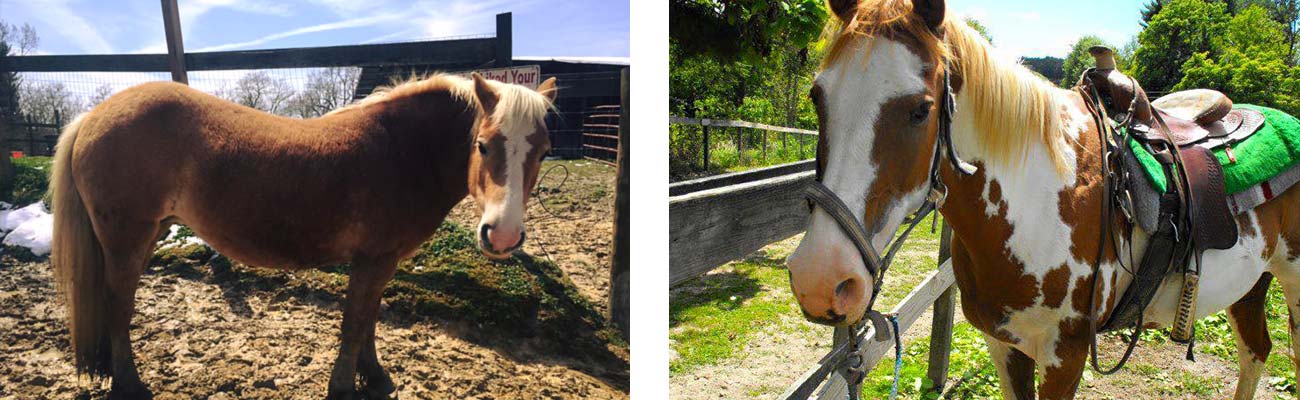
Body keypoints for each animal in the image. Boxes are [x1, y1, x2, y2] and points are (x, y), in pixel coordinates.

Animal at [50, 72, 556, 400]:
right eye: (482, 145)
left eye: (544, 151)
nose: (503, 236)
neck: (399, 150)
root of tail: (92, 116)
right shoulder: (372, 259)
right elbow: (354, 322)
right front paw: (344, 387)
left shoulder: (382, 260)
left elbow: (370, 318)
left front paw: (375, 378)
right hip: (128, 241)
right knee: (118, 306)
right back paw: (130, 386)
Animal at [785, 0, 1300, 397]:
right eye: (816, 96)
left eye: (920, 110)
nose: (819, 279)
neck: (1039, 201)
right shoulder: (1004, 344)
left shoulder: (1065, 354)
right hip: (1250, 285)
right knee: (1257, 353)